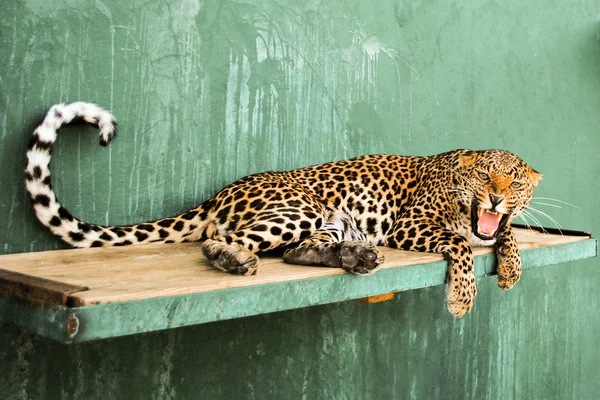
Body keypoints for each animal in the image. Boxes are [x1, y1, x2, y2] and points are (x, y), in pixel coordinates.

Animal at [23, 101, 540, 318]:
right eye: (484, 177)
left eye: (514, 182)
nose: (496, 197)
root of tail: (220, 193)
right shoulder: (412, 223)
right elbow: (461, 245)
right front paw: (463, 298)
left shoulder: (497, 222)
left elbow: (507, 232)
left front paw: (511, 267)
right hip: (299, 208)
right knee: (223, 241)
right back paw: (235, 259)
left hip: (329, 222)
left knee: (299, 251)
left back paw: (356, 256)